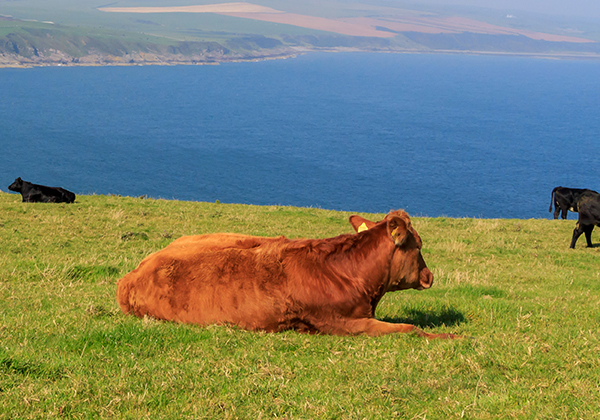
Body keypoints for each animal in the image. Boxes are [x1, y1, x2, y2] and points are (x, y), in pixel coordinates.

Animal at [117, 209, 458, 338]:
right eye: (418, 245)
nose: (429, 275)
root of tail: (130, 277)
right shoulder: (342, 322)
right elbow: (408, 328)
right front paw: (452, 336)